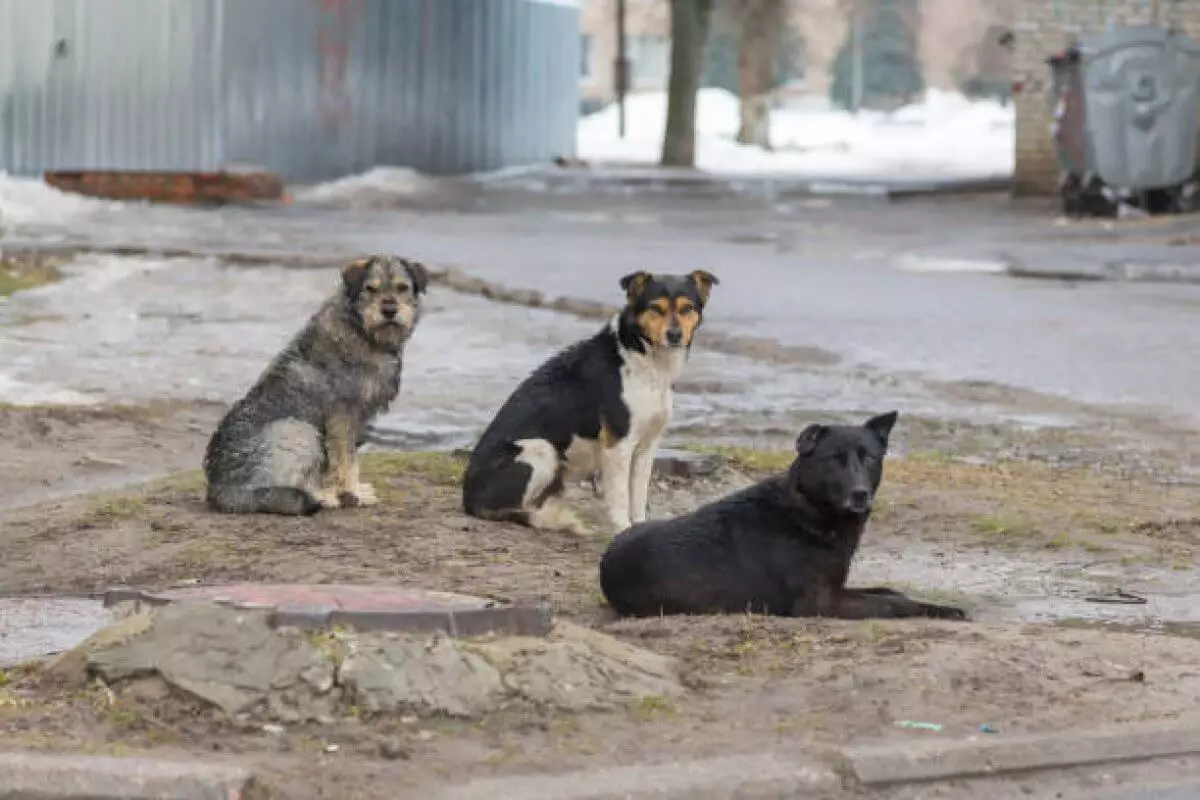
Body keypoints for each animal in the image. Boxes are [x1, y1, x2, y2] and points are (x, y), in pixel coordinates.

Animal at [204, 257, 429, 520]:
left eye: (403, 287)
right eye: (370, 289)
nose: (390, 310)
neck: (362, 332)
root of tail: (221, 490)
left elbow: (336, 464)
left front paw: (348, 491)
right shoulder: (342, 417)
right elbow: (347, 461)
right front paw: (353, 493)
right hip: (298, 430)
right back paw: (320, 497)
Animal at [463, 271, 715, 537]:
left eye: (687, 308)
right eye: (656, 308)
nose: (674, 335)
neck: (644, 358)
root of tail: (467, 497)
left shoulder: (647, 446)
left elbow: (638, 495)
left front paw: (639, 526)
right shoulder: (618, 445)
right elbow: (620, 495)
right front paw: (622, 528)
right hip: (541, 449)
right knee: (512, 509)